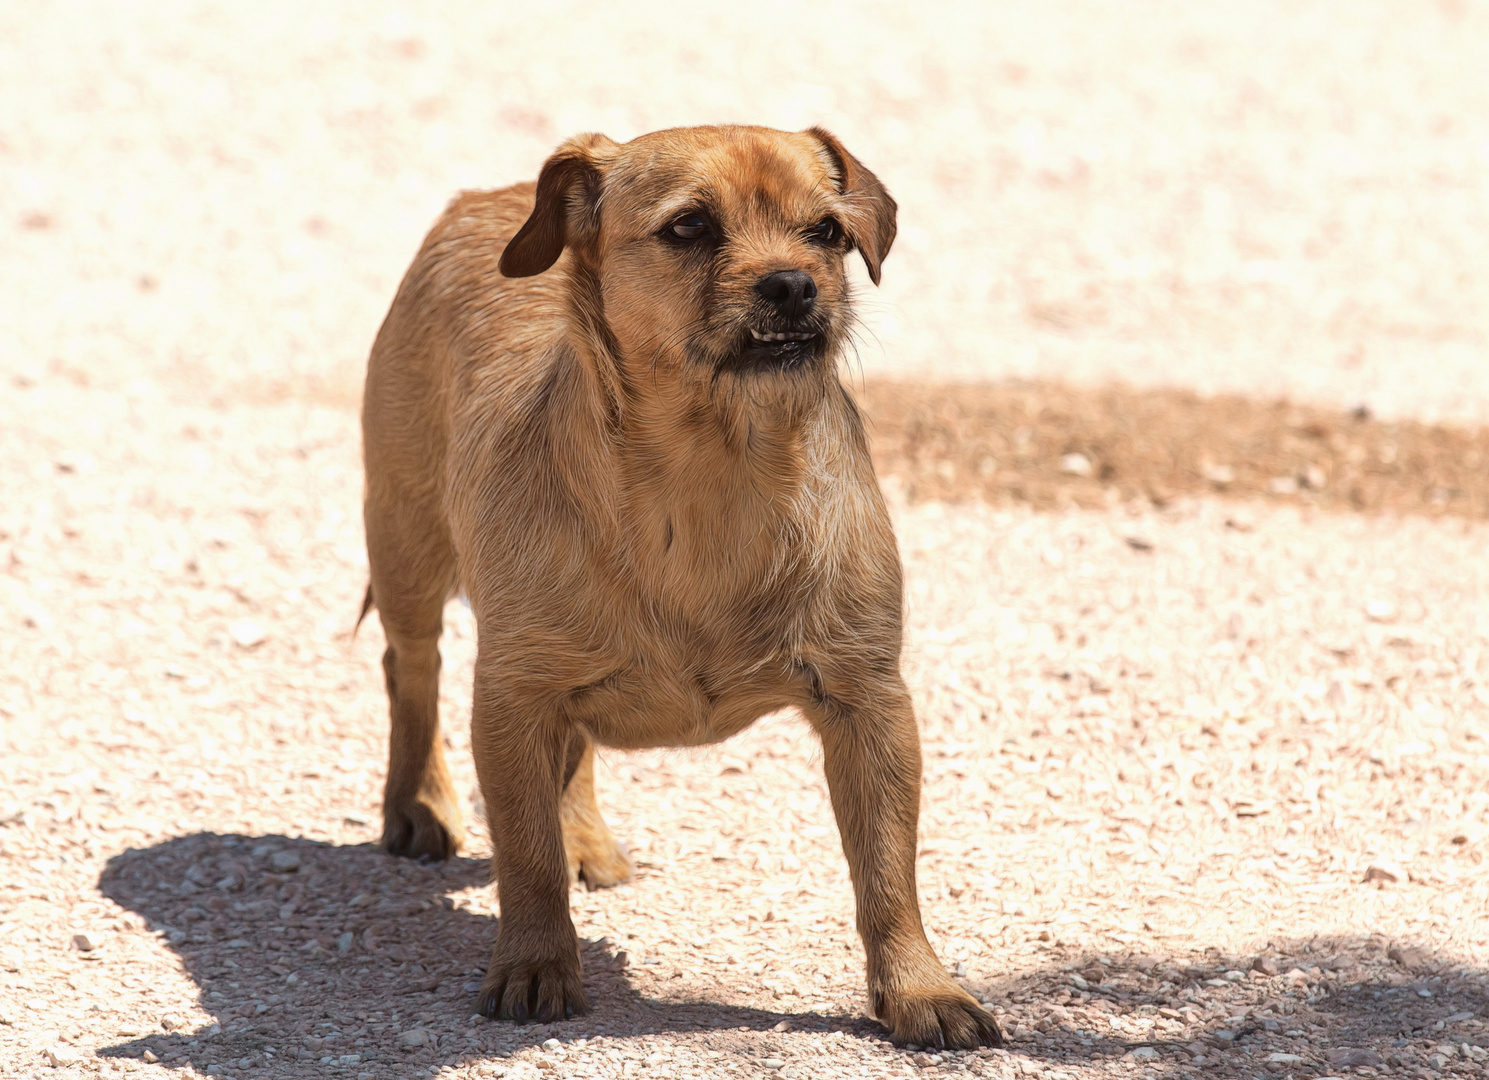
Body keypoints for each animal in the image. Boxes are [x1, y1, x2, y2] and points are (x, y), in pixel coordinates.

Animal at [363, 124, 1000, 1042]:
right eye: (689, 227)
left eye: (827, 232)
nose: (792, 284)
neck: (717, 475)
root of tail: (489, 195)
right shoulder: (512, 697)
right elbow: (525, 859)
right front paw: (534, 965)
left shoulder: (868, 704)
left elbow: (886, 873)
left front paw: (920, 991)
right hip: (406, 549)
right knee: (411, 671)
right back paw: (418, 804)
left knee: (568, 752)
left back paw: (582, 837)